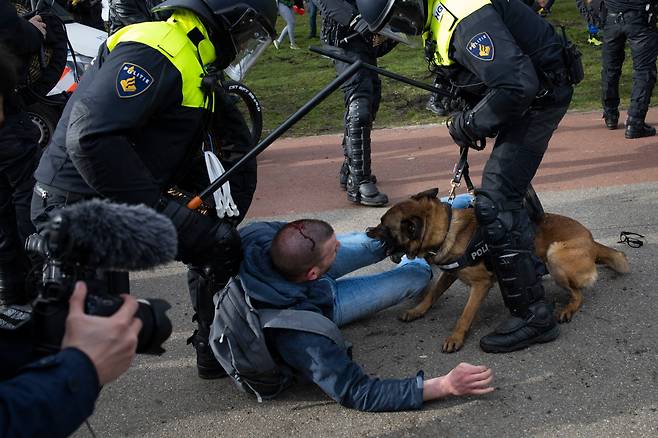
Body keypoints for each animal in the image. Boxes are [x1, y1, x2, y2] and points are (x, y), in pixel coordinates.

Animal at [366, 188, 628, 352]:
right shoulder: (450, 273)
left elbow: (465, 315)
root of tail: (591, 240)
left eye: (383, 225)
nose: (368, 230)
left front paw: (455, 338)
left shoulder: (481, 285)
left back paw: (567, 308)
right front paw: (417, 311)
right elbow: (432, 294)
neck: (447, 230)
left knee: (579, 294)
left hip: (555, 257)